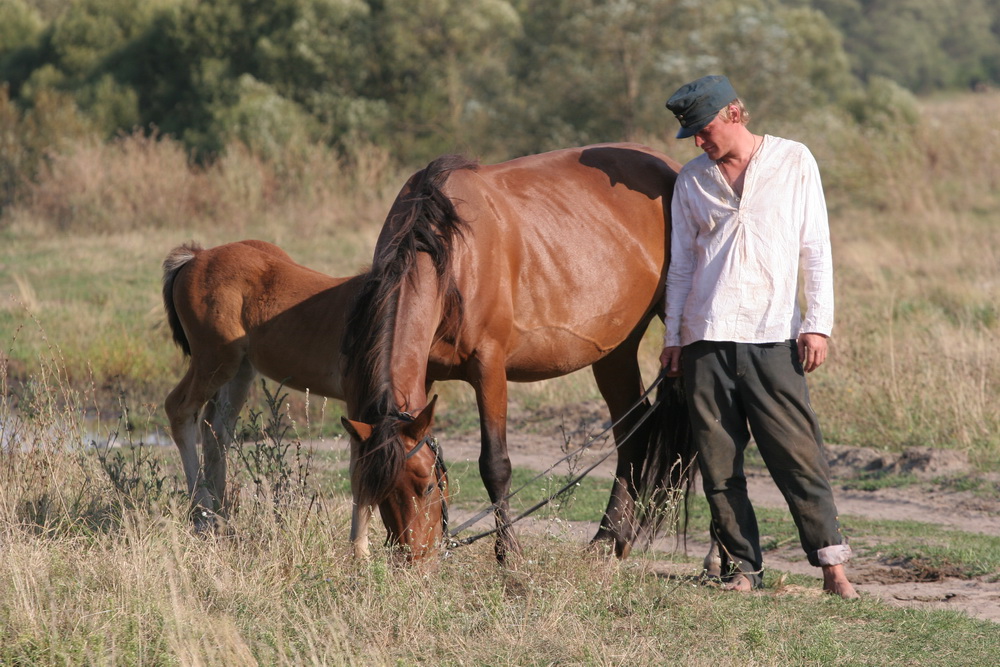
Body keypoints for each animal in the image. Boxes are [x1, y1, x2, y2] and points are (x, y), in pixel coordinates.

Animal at [163, 241, 450, 552]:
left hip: (240, 369)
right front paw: (360, 554)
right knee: (179, 409)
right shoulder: (357, 404)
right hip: (215, 361)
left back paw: (221, 522)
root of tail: (197, 256)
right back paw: (202, 518)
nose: (415, 551)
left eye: (430, 486)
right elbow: (359, 470)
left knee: (216, 431)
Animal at [340, 142, 692, 564]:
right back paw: (610, 540)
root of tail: (670, 167)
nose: (414, 559)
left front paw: (509, 555)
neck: (451, 254)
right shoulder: (424, 375)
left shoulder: (489, 367)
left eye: (426, 485)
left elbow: (495, 465)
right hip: (616, 348)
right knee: (632, 429)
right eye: (380, 492)